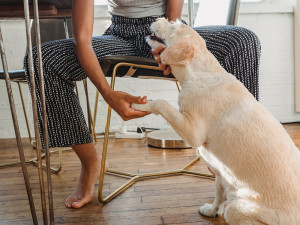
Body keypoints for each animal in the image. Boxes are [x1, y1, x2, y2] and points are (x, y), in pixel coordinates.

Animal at [132, 18, 300, 225]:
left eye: (173, 26)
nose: (156, 18)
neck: (199, 73)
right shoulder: (221, 172)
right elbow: (218, 193)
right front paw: (212, 211)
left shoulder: (192, 133)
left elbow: (161, 103)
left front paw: (140, 105)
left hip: (237, 208)